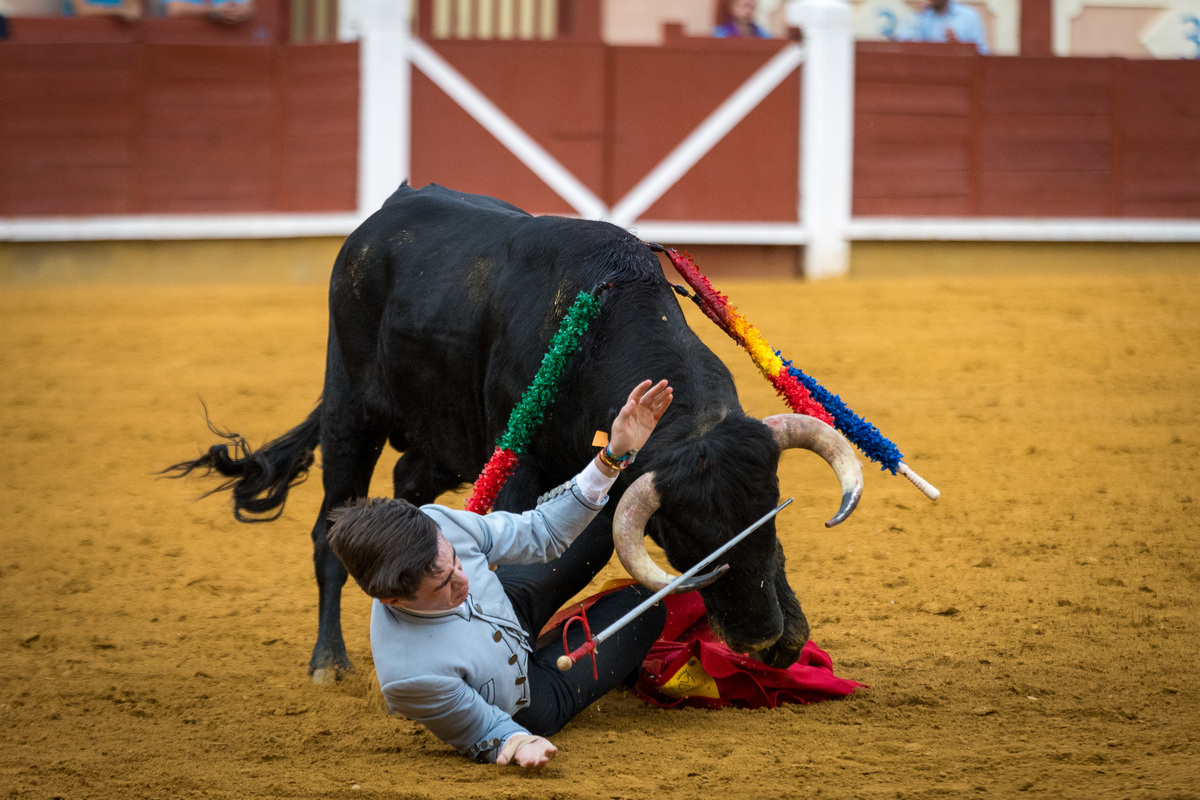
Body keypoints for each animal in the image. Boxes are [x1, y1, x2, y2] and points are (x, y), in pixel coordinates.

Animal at [171, 185, 864, 681]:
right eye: (684, 537)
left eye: (769, 513)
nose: (762, 636)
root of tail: (381, 216)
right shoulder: (519, 471)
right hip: (351, 414)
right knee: (327, 531)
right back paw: (328, 663)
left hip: (443, 443)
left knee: (408, 482)